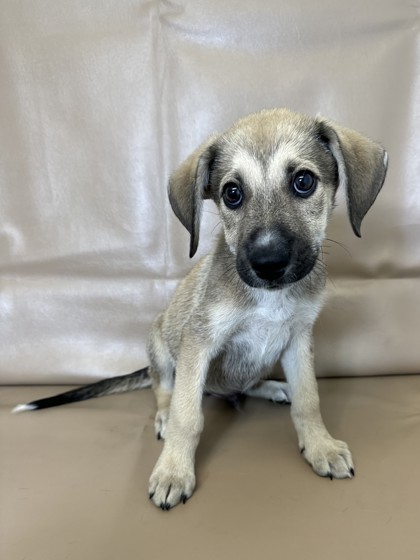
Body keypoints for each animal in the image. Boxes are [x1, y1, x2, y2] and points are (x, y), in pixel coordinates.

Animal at [13, 107, 388, 510]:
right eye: (232, 193)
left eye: (304, 181)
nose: (267, 263)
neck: (269, 298)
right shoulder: (198, 344)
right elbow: (187, 417)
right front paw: (173, 472)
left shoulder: (298, 340)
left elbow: (308, 400)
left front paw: (320, 446)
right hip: (160, 343)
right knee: (163, 388)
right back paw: (164, 416)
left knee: (246, 385)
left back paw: (272, 387)